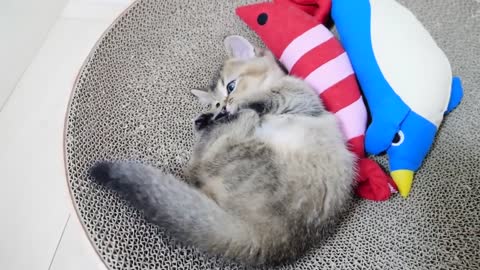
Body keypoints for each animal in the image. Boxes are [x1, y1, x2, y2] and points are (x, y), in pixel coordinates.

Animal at [89, 35, 356, 266]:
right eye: (216, 101)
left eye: (231, 86)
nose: (222, 108)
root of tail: (265, 238)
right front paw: (209, 116)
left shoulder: (295, 97)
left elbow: (261, 99)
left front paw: (227, 110)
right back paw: (204, 124)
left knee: (198, 165)